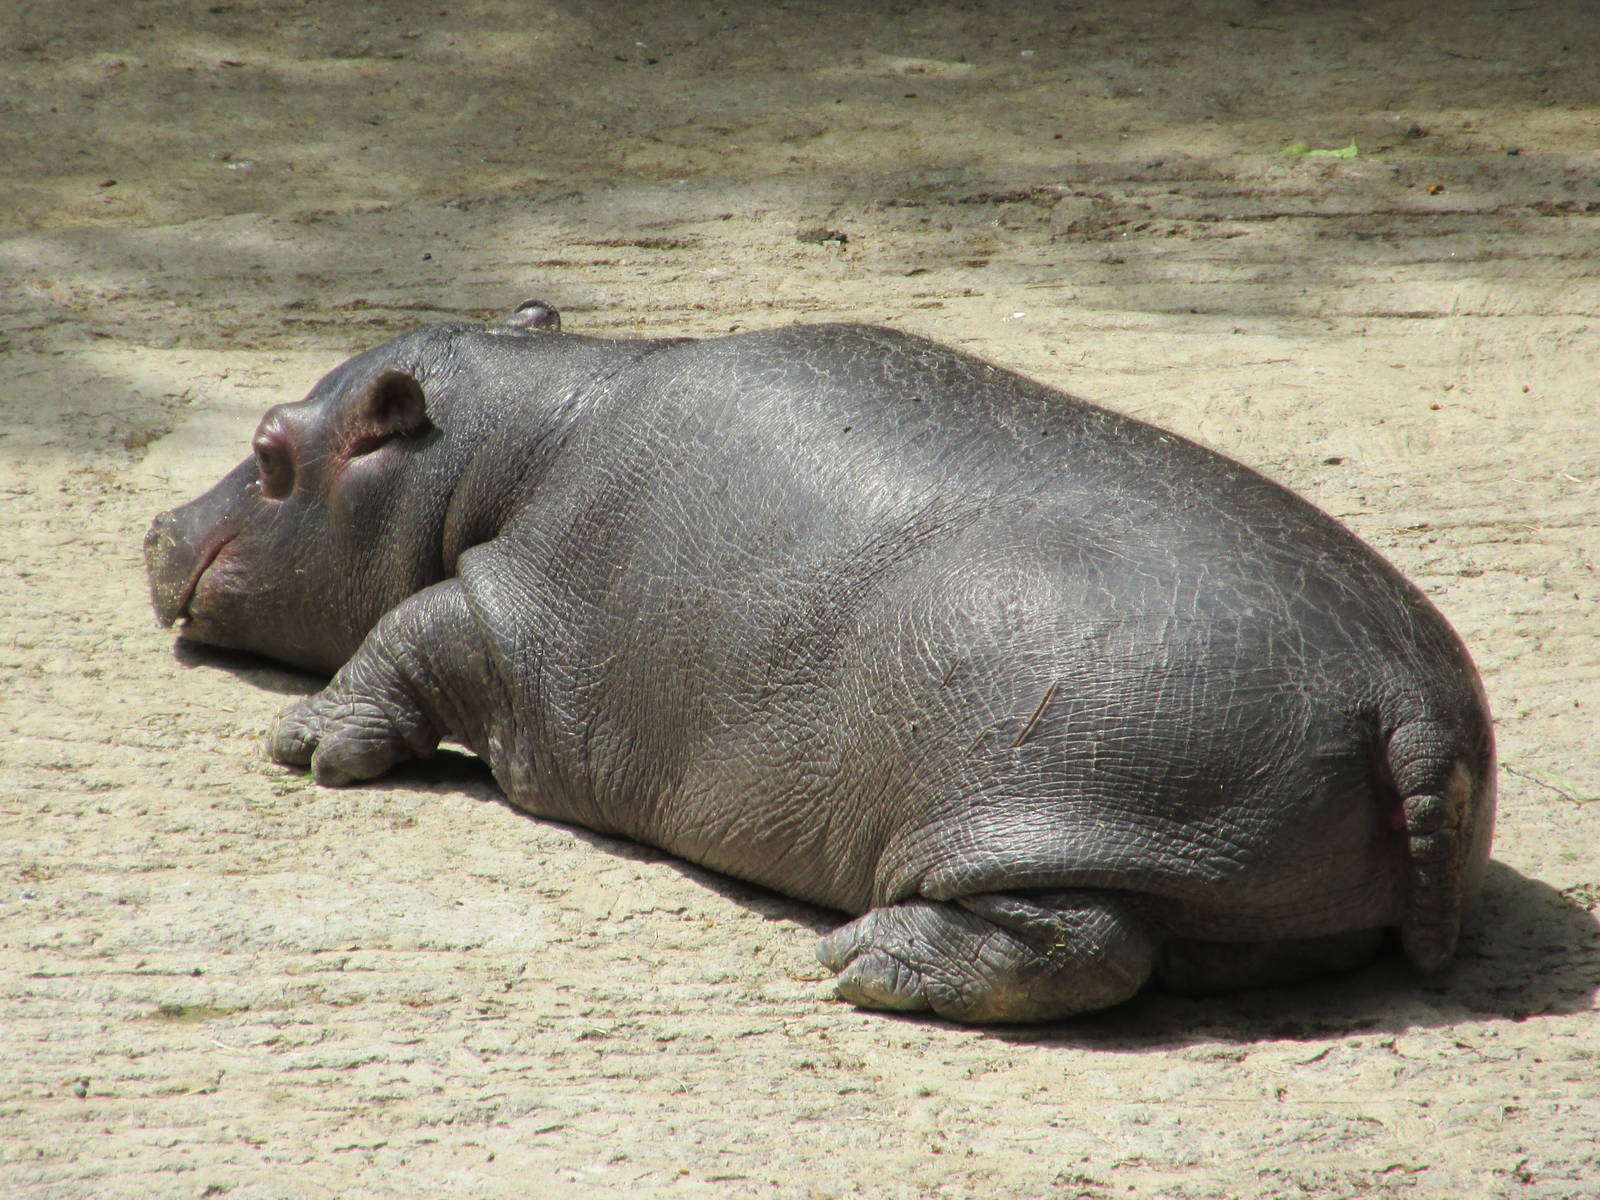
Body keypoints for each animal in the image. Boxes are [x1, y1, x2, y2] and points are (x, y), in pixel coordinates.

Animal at [145, 303, 1495, 1024]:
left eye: (269, 448)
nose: (155, 526)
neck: (506, 441)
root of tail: (1408, 702)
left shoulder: (514, 615)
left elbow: (411, 627)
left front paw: (308, 745)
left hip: (1055, 807)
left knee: (1087, 941)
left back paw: (867, 963)